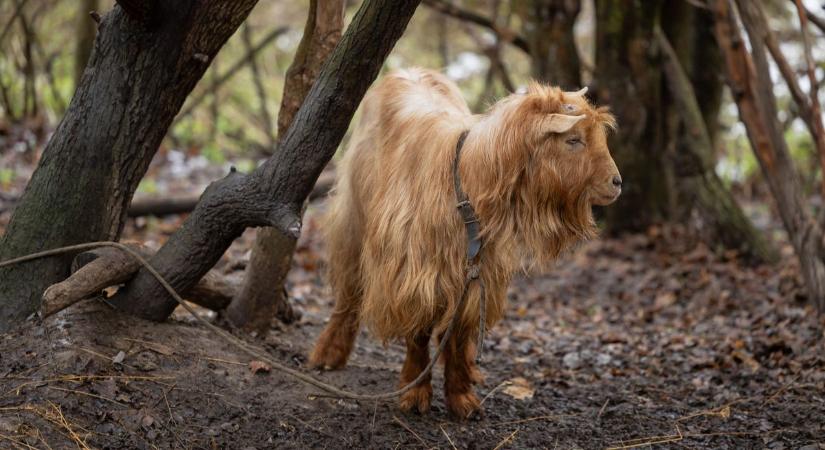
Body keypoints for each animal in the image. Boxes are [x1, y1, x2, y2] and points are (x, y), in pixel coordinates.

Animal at [308, 67, 616, 418]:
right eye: (573, 140)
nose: (617, 182)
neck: (465, 182)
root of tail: (406, 71)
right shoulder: (415, 274)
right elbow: (419, 333)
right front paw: (414, 393)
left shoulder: (473, 273)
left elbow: (456, 335)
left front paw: (461, 398)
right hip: (353, 219)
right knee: (348, 290)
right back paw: (328, 353)